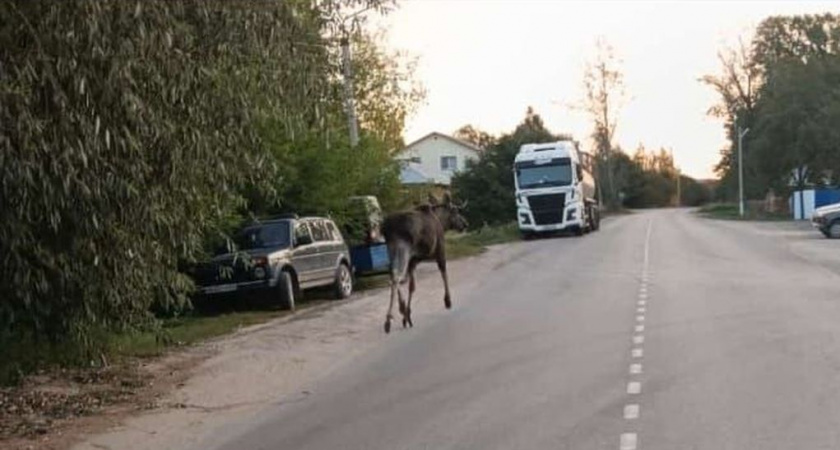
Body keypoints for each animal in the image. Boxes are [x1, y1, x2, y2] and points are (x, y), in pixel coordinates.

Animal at [380, 192, 466, 332]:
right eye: (455, 211)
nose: (465, 224)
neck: (441, 220)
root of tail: (387, 227)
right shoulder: (440, 250)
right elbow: (444, 273)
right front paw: (448, 300)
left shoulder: (413, 261)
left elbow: (412, 287)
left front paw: (407, 315)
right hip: (403, 249)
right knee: (396, 277)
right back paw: (389, 319)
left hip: (391, 251)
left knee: (392, 275)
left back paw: (401, 309)